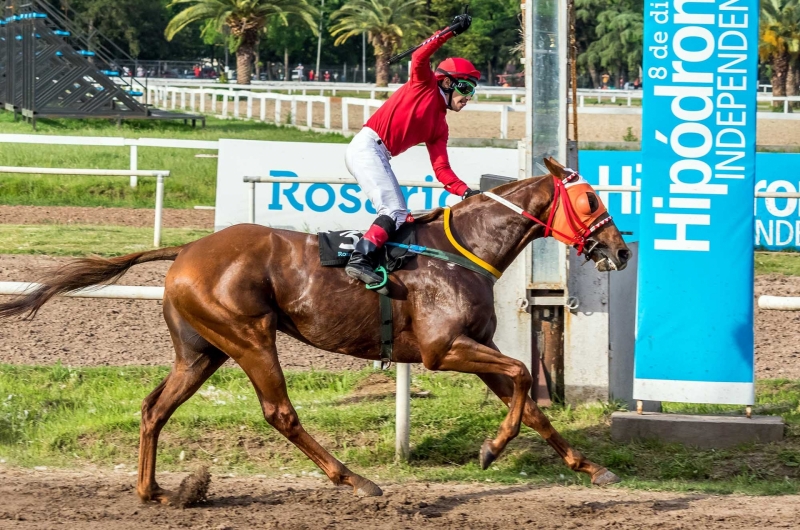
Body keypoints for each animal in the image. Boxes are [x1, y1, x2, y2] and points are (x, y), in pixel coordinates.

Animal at [3, 156, 636, 500]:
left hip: (202, 351)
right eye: (588, 198)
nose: (620, 249)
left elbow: (529, 403)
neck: (463, 252)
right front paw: (489, 449)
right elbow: (525, 374)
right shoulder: (443, 350)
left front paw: (590, 467)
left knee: (155, 408)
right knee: (279, 412)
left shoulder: (475, 345)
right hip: (250, 337)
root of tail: (186, 249)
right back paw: (354, 479)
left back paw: (153, 490)